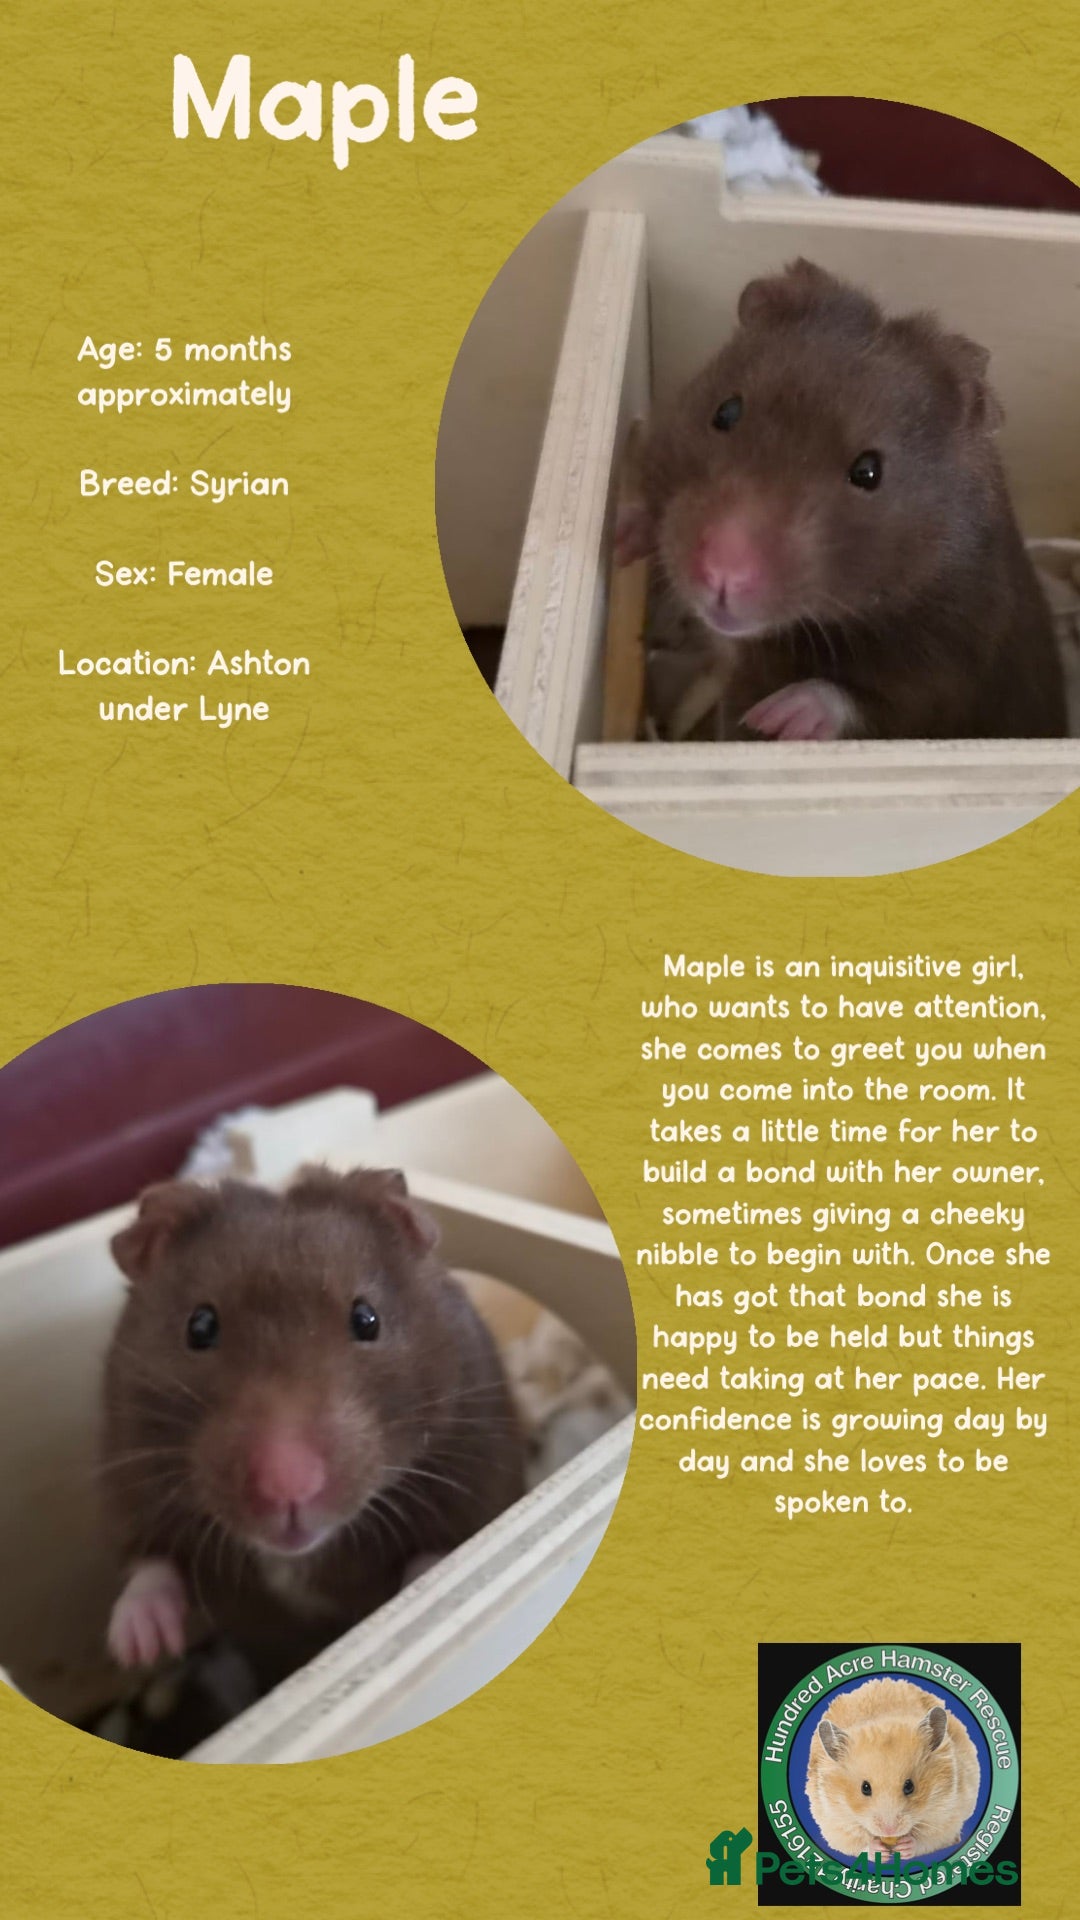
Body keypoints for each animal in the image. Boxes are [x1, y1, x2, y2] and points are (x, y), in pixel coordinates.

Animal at [101, 1167, 525, 1686]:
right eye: (199, 1327)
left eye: (367, 1319)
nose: (289, 1490)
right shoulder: (128, 1475)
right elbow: (151, 1564)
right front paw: (138, 1649)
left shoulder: (478, 1466)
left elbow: (436, 1555)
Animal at [617, 257, 1066, 742]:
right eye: (725, 412)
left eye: (869, 472)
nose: (722, 573)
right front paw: (622, 535)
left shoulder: (953, 667)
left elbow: (871, 702)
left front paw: (778, 717)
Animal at [806, 1677, 981, 1860]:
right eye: (865, 1788)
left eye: (910, 1786)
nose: (889, 1830)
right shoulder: (834, 1822)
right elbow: (856, 1842)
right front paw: (879, 1851)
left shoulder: (947, 1814)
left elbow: (929, 1838)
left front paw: (905, 1846)